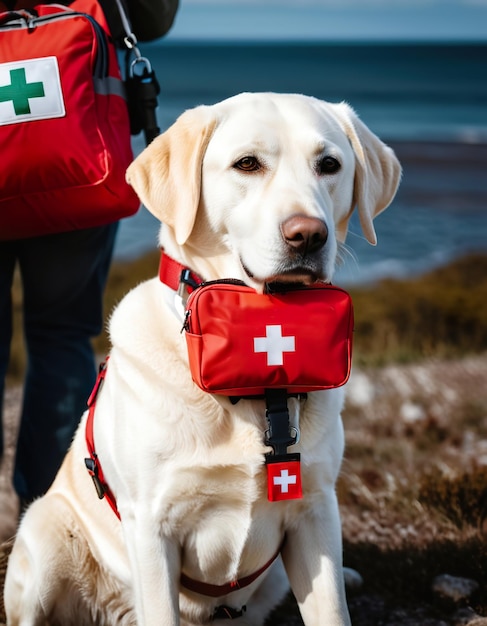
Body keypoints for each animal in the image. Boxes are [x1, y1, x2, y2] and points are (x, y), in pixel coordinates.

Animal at [3, 90, 402, 620]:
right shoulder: (152, 529)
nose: (308, 235)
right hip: (45, 538)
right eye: (247, 164)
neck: (259, 389)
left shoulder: (316, 512)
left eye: (330, 165)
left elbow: (332, 610)